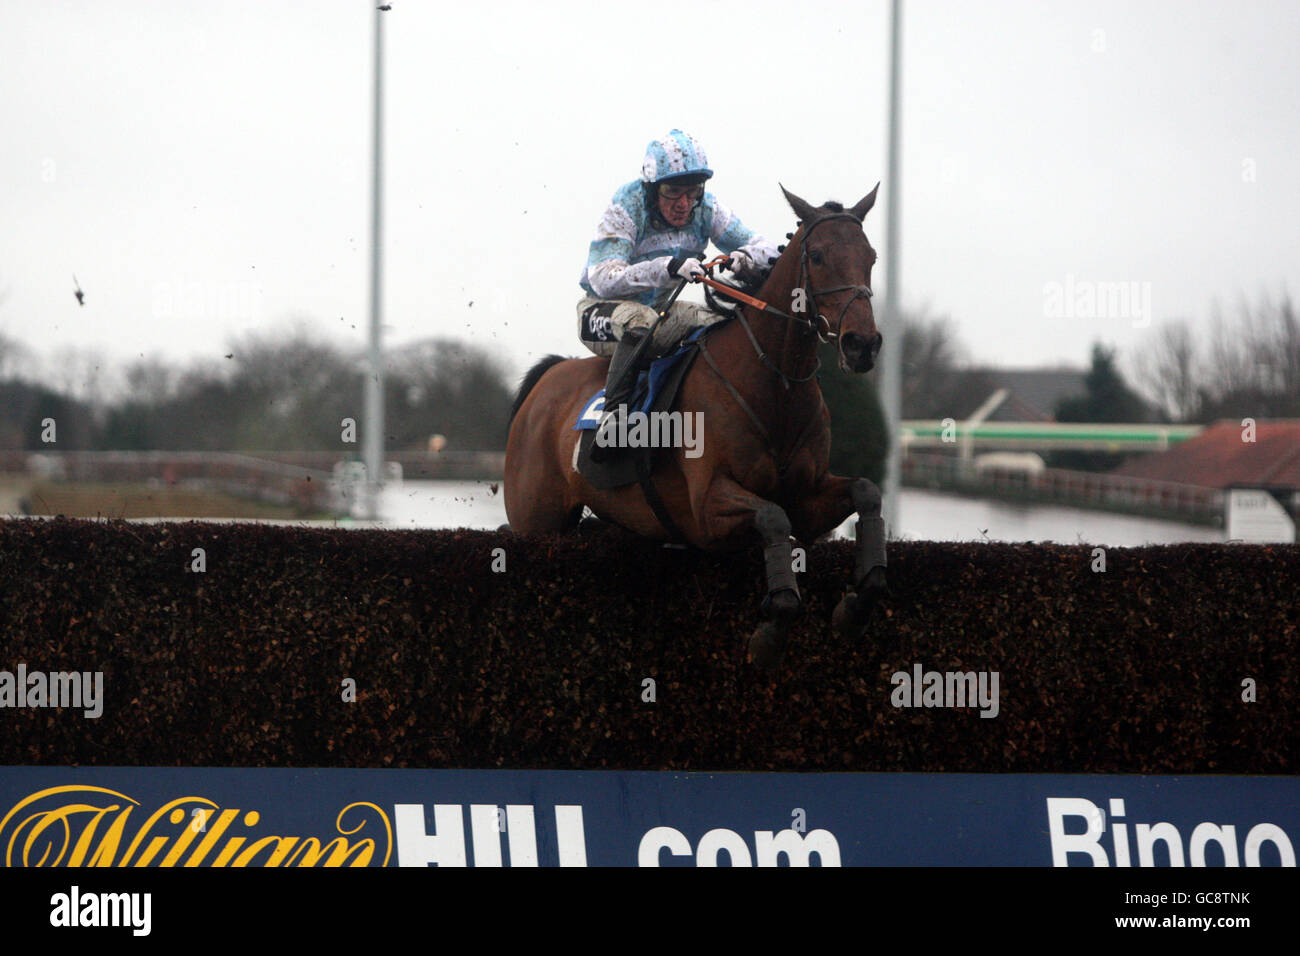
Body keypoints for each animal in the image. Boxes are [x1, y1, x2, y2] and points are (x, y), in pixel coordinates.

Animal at [501, 184, 889, 665]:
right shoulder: (706, 510)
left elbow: (866, 493)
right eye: (817, 255)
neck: (773, 387)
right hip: (536, 521)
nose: (861, 345)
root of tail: (549, 377)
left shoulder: (808, 500)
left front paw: (855, 606)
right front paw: (770, 631)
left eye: (871, 256)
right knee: (635, 325)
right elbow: (772, 517)